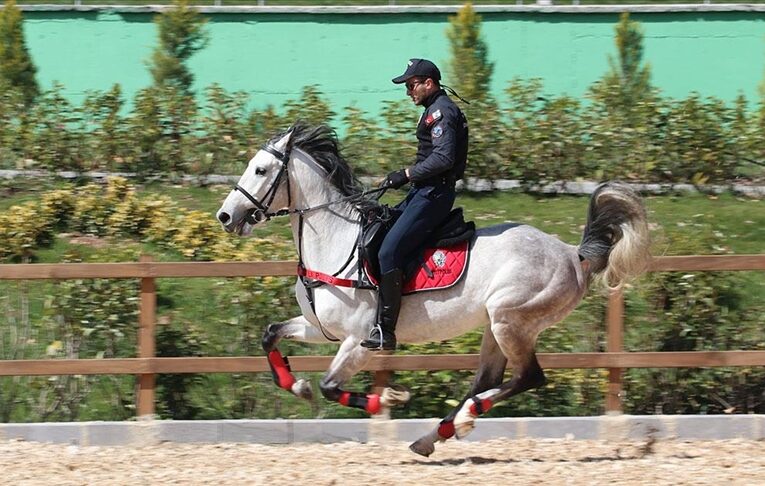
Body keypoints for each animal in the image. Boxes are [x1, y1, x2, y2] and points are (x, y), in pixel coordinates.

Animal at [216, 121, 652, 456]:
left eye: (260, 170)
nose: (225, 216)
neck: (336, 241)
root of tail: (570, 254)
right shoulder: (320, 329)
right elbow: (271, 336)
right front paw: (298, 386)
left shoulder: (358, 340)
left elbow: (331, 385)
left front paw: (389, 399)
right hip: (496, 327)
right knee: (489, 379)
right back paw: (436, 434)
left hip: (510, 321)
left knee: (527, 378)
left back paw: (464, 419)